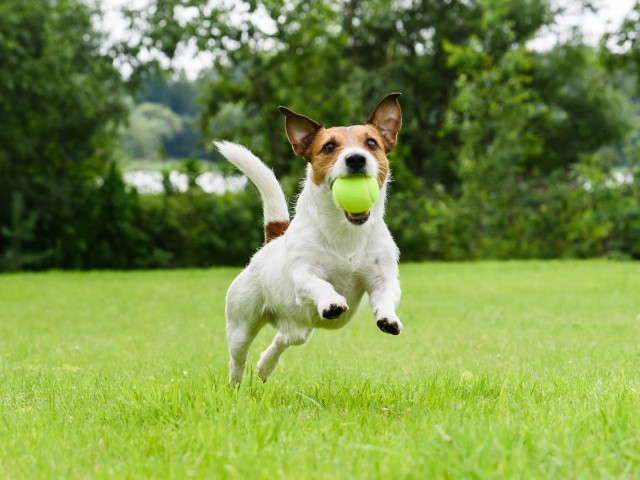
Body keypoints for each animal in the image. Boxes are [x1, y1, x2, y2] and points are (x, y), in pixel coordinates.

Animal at [215, 93, 404, 386]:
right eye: (329, 147)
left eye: (372, 143)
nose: (356, 159)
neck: (346, 233)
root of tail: (272, 240)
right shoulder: (303, 274)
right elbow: (320, 284)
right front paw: (332, 302)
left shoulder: (382, 276)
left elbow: (385, 295)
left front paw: (388, 318)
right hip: (240, 324)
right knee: (237, 360)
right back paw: (235, 385)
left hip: (299, 329)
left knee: (283, 339)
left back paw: (265, 366)